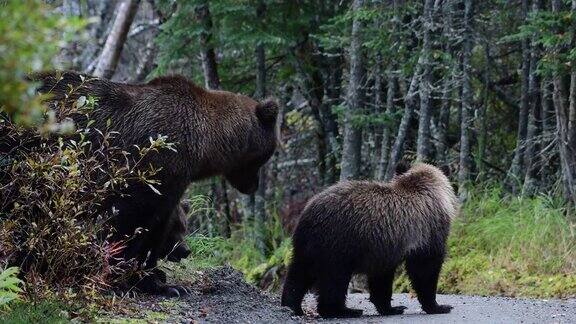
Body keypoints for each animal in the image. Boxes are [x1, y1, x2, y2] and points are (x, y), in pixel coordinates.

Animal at [32, 71, 280, 296]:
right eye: (267, 154)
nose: (253, 186)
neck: (203, 147)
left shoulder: (171, 183)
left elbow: (157, 225)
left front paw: (158, 281)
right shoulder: (150, 165)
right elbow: (128, 220)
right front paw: (123, 280)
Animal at [282, 163, 456, 318]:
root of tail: (308, 214)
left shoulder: (385, 246)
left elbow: (381, 278)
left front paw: (391, 308)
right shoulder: (427, 232)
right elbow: (425, 269)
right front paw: (438, 306)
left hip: (308, 245)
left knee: (299, 273)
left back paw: (291, 306)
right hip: (338, 242)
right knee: (334, 279)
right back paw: (344, 311)